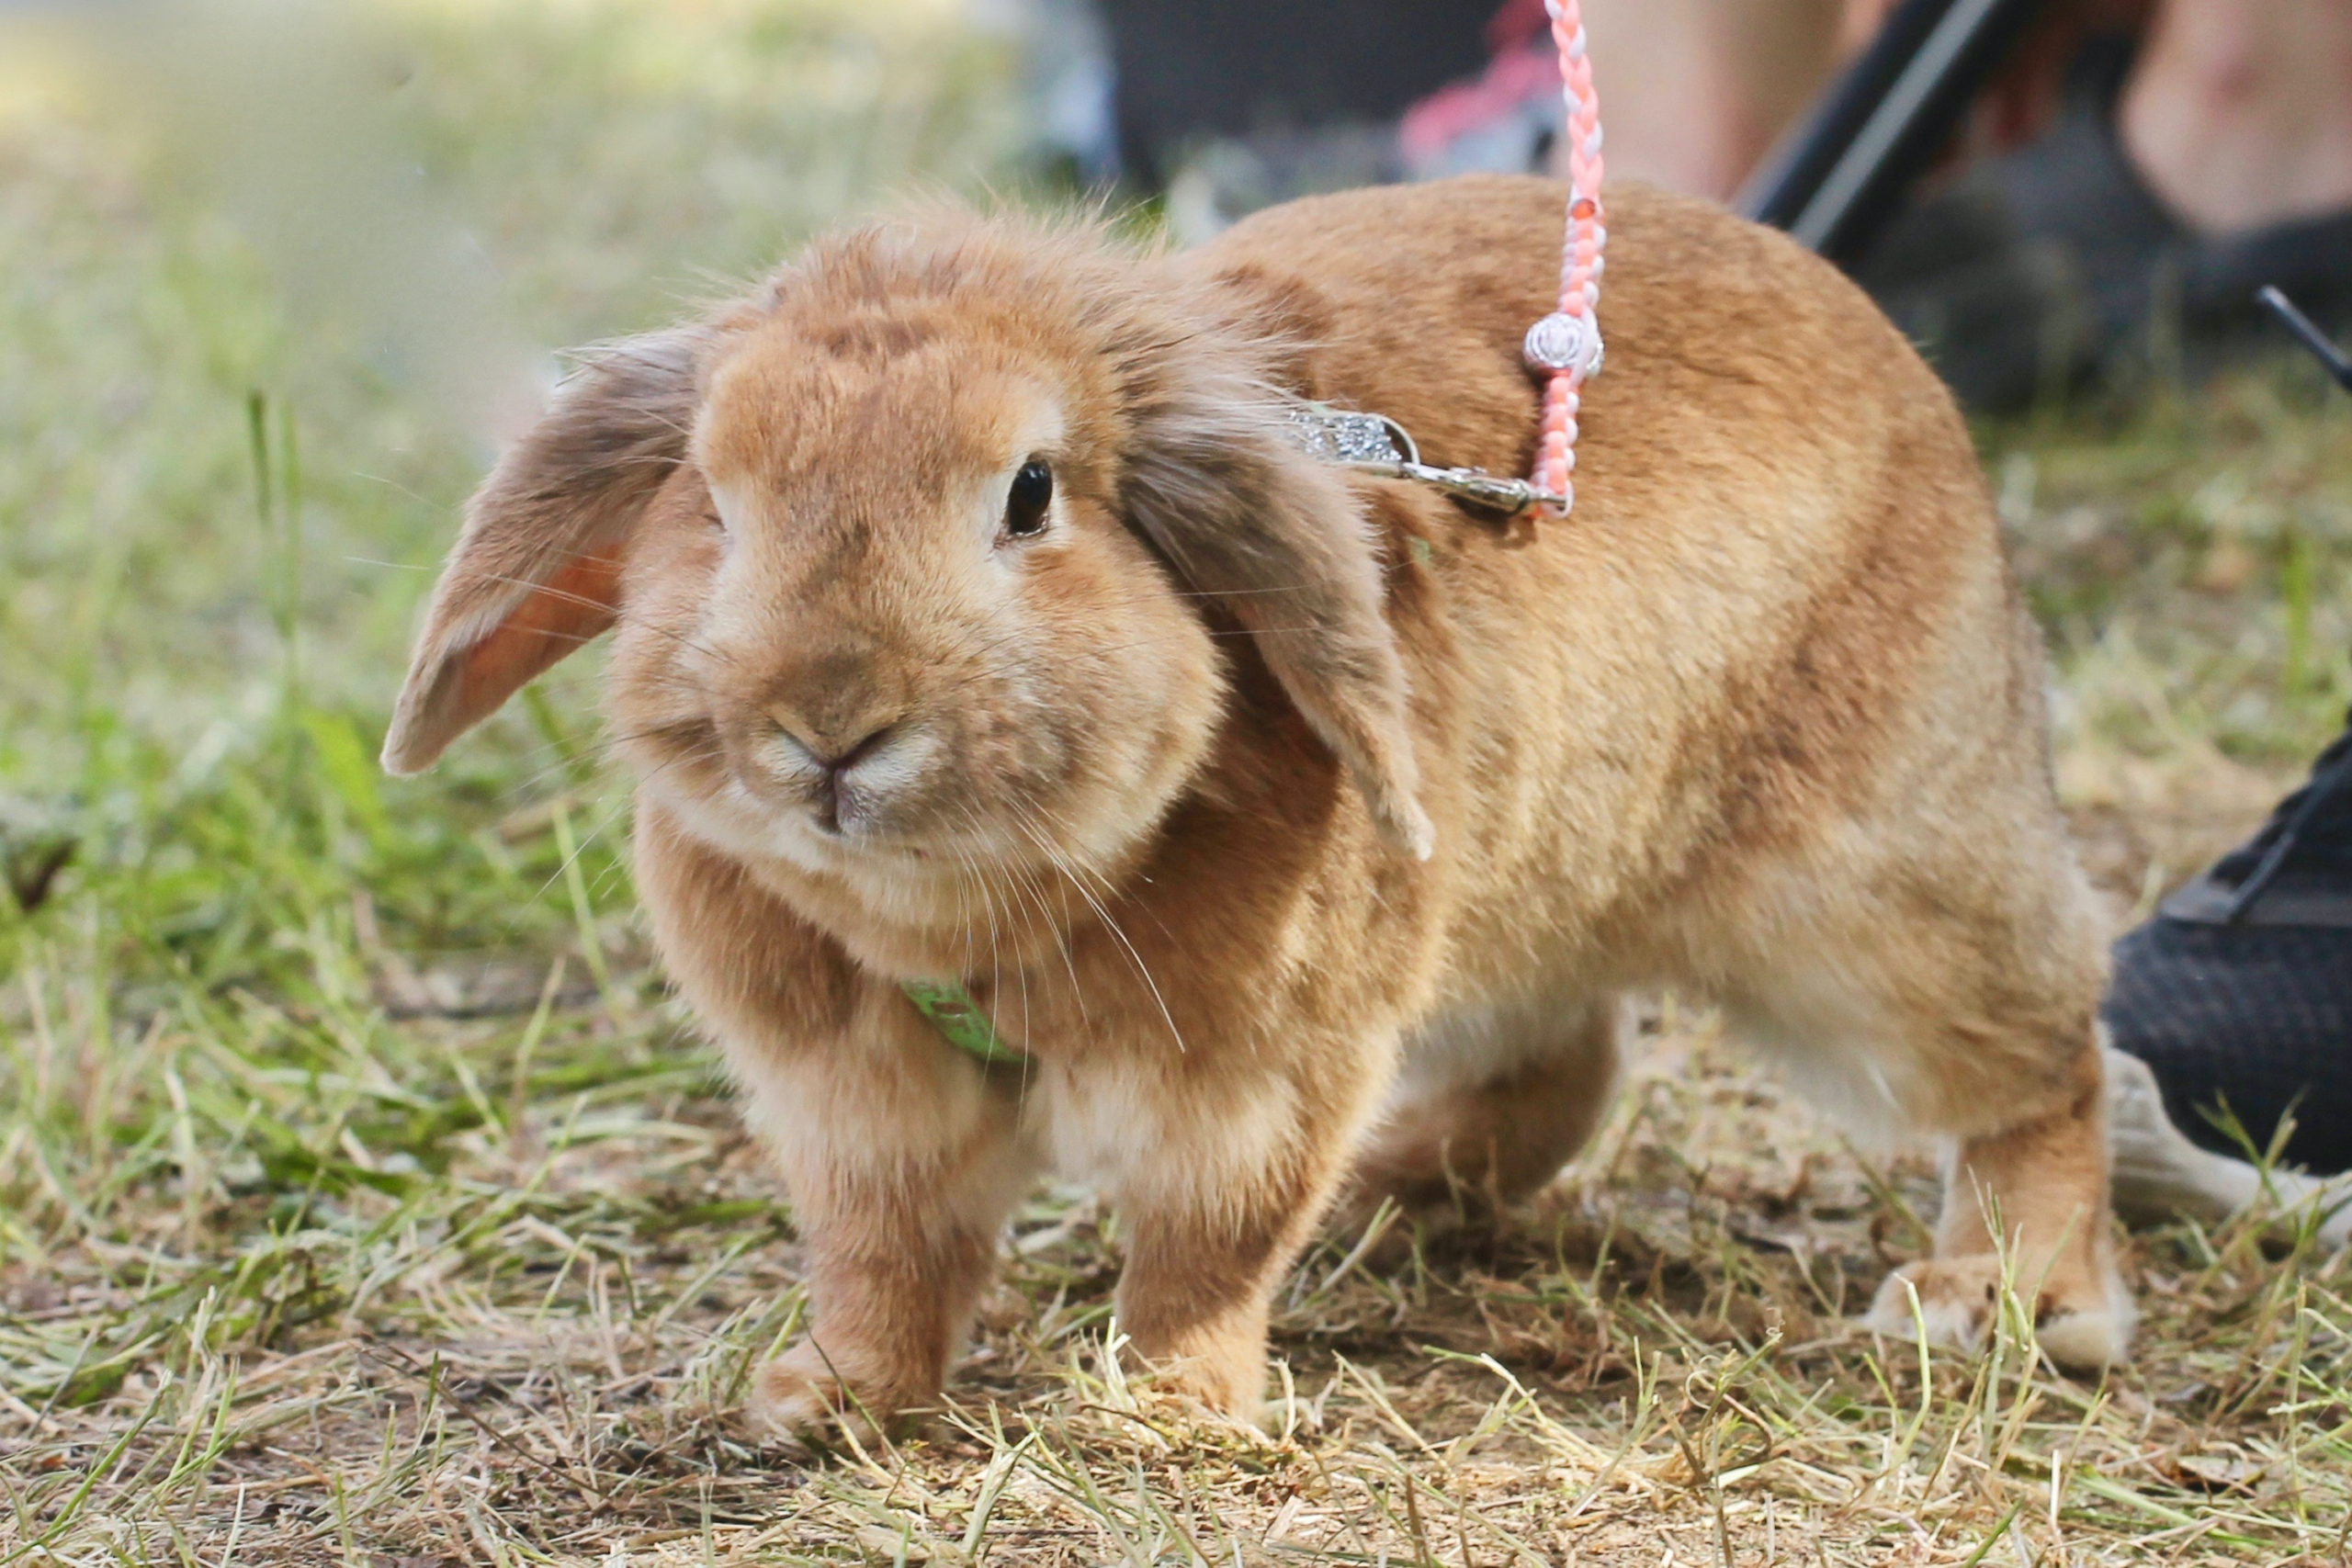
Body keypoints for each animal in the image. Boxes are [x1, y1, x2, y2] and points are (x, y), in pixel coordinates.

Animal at [382, 173, 2131, 1440]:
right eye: (714, 499)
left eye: (1031, 494)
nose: (831, 722)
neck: (968, 912)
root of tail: (1894, 364)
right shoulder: (856, 1103)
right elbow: (885, 1252)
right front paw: (823, 1399)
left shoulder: (1254, 1076)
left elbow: (1207, 1245)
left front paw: (1166, 1412)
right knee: (1564, 1064)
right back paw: (1399, 1184)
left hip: (1872, 899)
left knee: (2047, 1059)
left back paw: (1997, 1295)